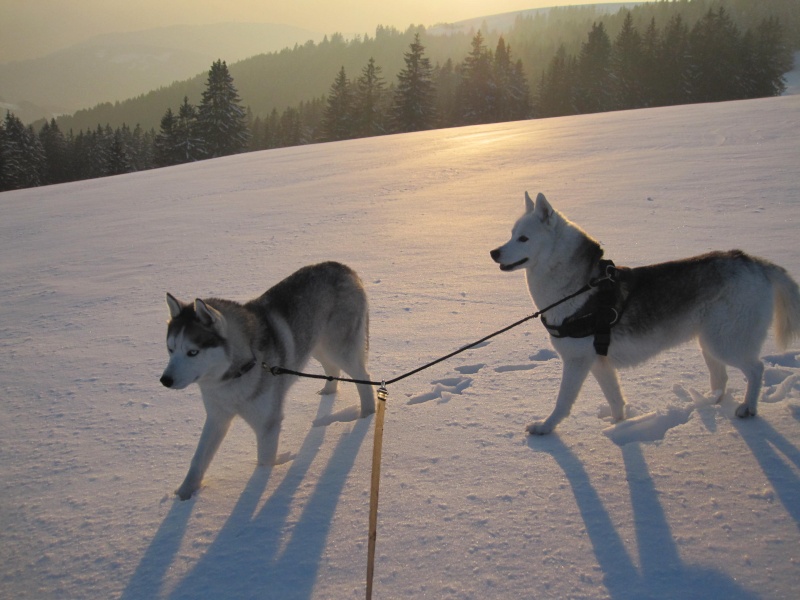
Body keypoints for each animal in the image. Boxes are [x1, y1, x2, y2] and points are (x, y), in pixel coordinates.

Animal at [162, 260, 378, 500]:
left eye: (192, 352)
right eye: (170, 349)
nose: (165, 380)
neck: (236, 373)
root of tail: (342, 266)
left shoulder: (267, 423)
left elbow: (264, 462)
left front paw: (259, 486)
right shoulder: (217, 416)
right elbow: (198, 460)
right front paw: (183, 495)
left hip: (339, 347)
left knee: (363, 377)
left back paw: (367, 414)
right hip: (314, 344)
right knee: (332, 368)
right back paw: (328, 392)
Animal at [488, 195, 800, 434]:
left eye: (524, 238)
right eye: (511, 235)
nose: (493, 252)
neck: (576, 287)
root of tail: (753, 261)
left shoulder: (577, 362)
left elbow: (563, 402)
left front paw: (545, 427)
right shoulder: (599, 363)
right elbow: (616, 402)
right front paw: (619, 427)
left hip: (726, 343)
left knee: (756, 369)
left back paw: (748, 407)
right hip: (709, 342)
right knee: (721, 378)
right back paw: (711, 402)